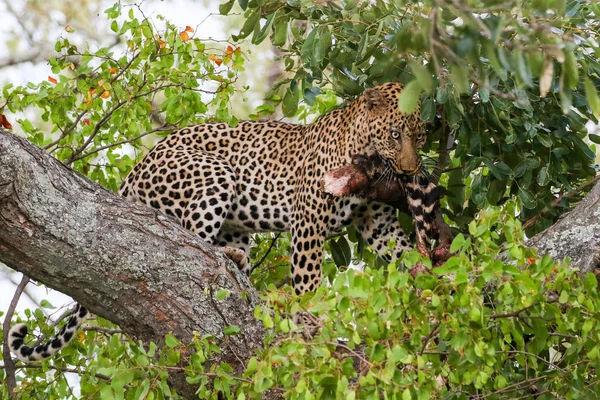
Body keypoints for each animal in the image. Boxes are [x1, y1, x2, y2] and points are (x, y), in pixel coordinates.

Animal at [8, 80, 426, 360]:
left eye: (419, 136)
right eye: (395, 134)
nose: (410, 170)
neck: (368, 156)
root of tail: (135, 169)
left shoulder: (379, 223)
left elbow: (405, 253)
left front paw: (431, 282)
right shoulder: (309, 219)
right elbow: (308, 281)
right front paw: (313, 321)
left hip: (235, 220)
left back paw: (237, 259)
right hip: (215, 173)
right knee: (192, 242)